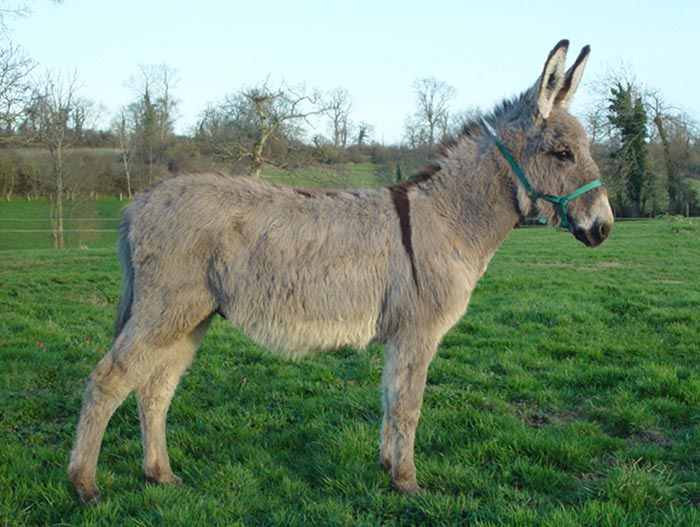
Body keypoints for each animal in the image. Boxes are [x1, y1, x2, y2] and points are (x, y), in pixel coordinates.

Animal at [69, 40, 613, 503]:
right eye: (563, 153)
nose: (604, 226)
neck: (448, 218)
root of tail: (138, 202)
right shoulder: (419, 331)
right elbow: (410, 405)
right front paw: (410, 484)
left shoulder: (399, 334)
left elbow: (391, 399)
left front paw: (389, 468)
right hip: (166, 309)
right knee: (109, 379)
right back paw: (85, 486)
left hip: (191, 316)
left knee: (156, 389)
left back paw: (160, 474)